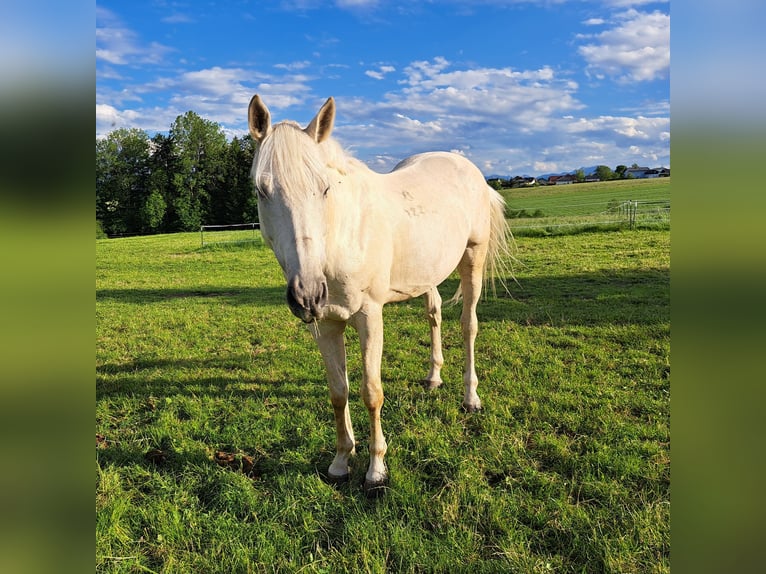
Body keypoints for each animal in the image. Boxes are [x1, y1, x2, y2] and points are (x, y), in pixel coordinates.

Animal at [249, 94, 512, 496]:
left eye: (324, 188)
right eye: (262, 191)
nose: (307, 294)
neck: (342, 237)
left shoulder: (369, 316)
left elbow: (371, 392)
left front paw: (376, 470)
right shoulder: (325, 324)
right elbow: (338, 391)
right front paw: (341, 461)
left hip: (474, 258)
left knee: (468, 326)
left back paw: (471, 398)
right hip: (428, 273)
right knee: (435, 313)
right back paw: (434, 377)